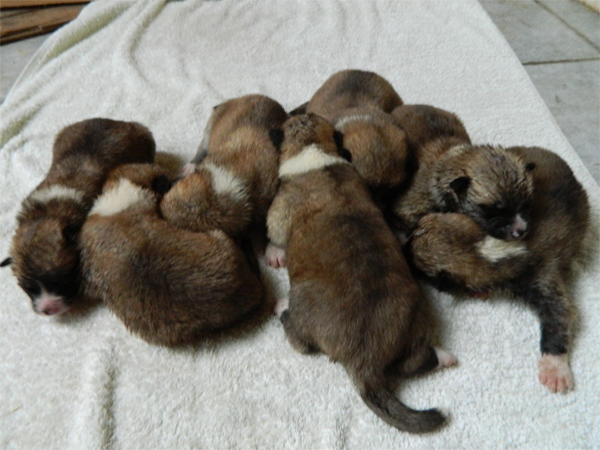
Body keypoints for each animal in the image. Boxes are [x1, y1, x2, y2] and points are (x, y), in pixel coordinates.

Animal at [265, 113, 455, 433]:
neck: (312, 147)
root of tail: (363, 359)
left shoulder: (280, 210)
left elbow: (274, 231)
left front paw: (273, 252)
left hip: (303, 313)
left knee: (299, 340)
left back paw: (281, 306)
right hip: (413, 323)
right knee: (411, 362)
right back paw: (443, 357)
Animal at [407, 146, 590, 393]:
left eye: (417, 266)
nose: (403, 245)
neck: (487, 250)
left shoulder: (544, 280)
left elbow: (559, 316)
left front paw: (554, 367)